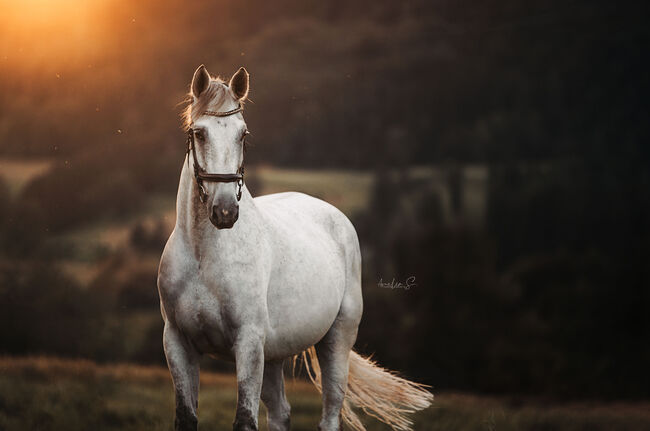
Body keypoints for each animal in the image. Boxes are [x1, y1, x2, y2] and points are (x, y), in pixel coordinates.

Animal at [157, 65, 430, 431]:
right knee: (281, 412)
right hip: (273, 354)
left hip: (336, 340)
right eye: (199, 133)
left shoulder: (248, 343)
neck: (204, 255)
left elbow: (244, 420)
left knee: (330, 412)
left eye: (243, 135)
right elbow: (186, 417)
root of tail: (334, 214)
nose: (225, 211)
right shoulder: (178, 344)